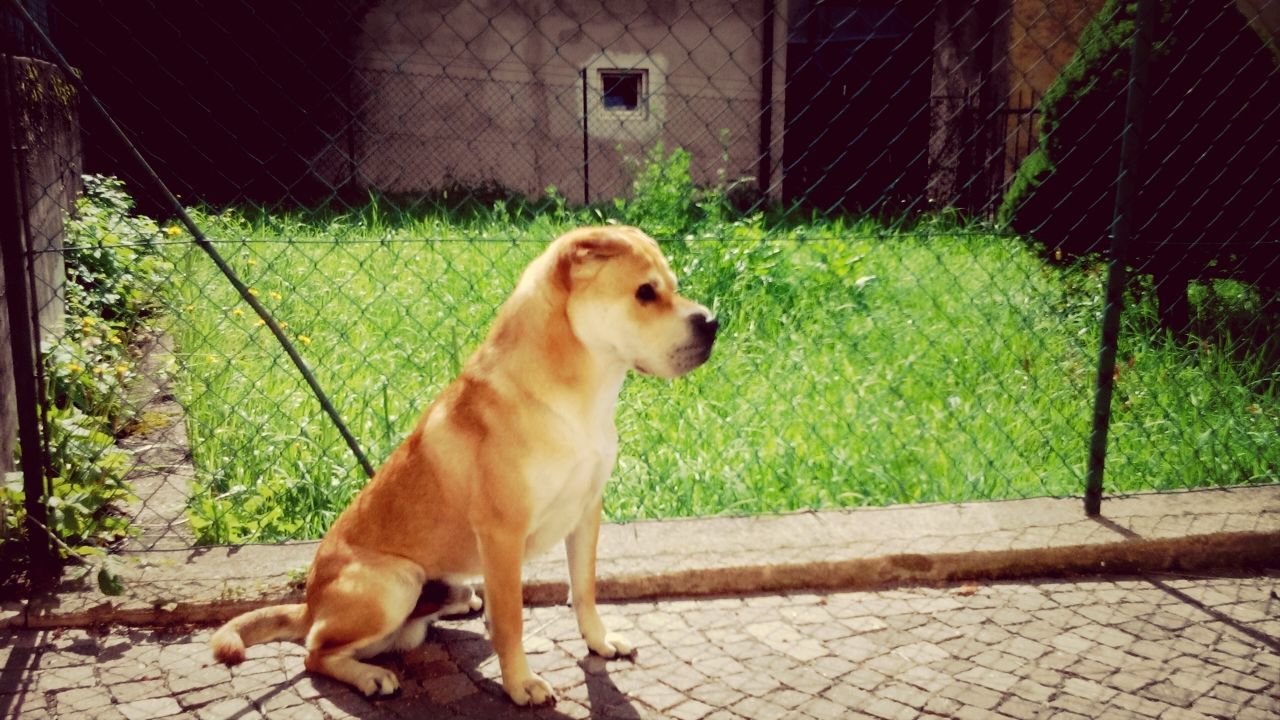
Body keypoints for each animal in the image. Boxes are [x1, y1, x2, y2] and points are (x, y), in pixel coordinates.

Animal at [204, 224, 716, 702]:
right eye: (645, 292)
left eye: (672, 285)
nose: (713, 322)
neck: (576, 400)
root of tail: (309, 604)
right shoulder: (502, 534)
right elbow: (511, 620)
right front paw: (520, 684)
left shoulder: (587, 512)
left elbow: (584, 589)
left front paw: (599, 640)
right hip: (396, 582)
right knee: (315, 651)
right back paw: (370, 676)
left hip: (447, 584)